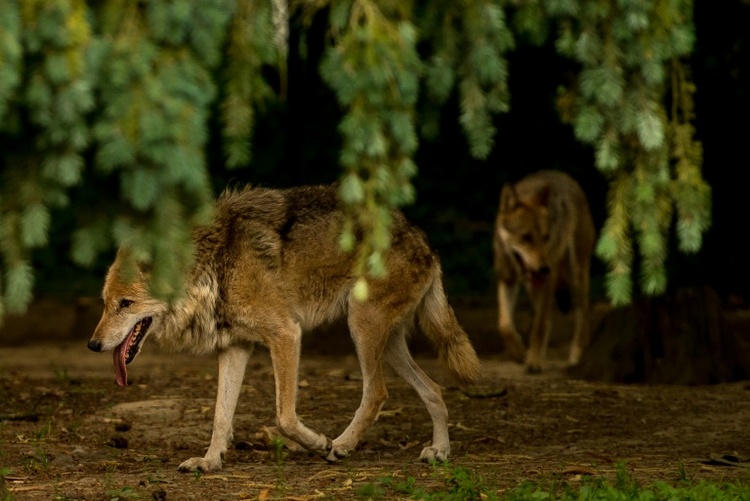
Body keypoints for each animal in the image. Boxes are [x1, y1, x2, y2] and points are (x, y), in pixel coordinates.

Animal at [87, 184, 481, 472]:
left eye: (126, 304)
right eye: (105, 303)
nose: (93, 345)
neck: (215, 267)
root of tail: (422, 238)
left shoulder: (286, 335)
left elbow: (284, 416)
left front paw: (318, 443)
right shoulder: (234, 348)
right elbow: (220, 416)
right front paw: (210, 461)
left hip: (361, 326)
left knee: (377, 393)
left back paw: (340, 446)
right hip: (387, 343)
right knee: (433, 389)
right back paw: (439, 451)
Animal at [493, 170, 595, 373]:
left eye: (546, 237)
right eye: (526, 237)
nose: (545, 267)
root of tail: (567, 178)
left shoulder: (548, 281)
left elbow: (538, 326)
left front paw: (534, 361)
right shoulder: (507, 279)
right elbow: (504, 324)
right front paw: (517, 353)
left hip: (576, 275)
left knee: (583, 312)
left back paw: (577, 355)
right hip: (536, 285)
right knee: (549, 319)